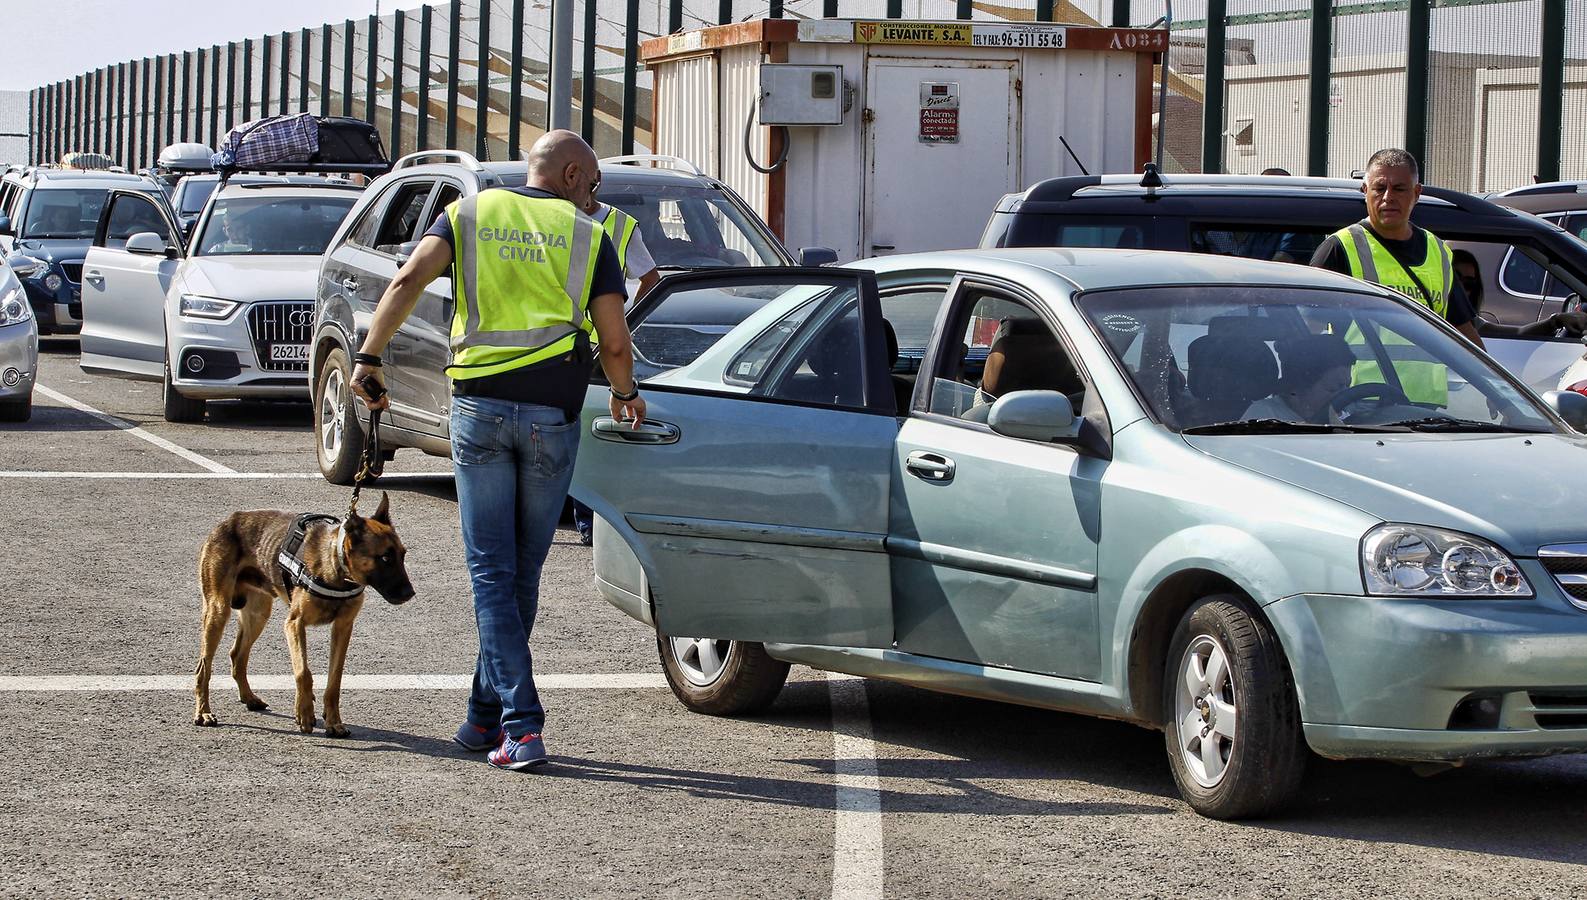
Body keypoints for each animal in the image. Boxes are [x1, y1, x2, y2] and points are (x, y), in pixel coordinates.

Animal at [189, 492, 415, 739]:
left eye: (403, 555)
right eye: (385, 558)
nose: (410, 594)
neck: (335, 569)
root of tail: (226, 521)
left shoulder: (343, 627)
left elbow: (334, 680)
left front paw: (333, 722)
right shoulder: (294, 624)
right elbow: (303, 672)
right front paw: (304, 712)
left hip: (258, 614)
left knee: (237, 655)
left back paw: (249, 697)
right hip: (218, 610)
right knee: (204, 667)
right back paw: (203, 712)